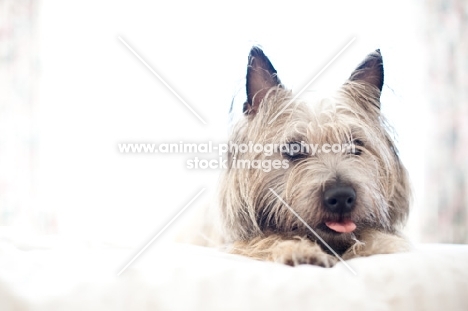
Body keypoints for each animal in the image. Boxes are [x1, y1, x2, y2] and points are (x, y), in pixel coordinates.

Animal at [218, 47, 412, 268]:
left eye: (355, 146)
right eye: (294, 149)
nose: (342, 197)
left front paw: (379, 245)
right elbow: (264, 239)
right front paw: (298, 249)